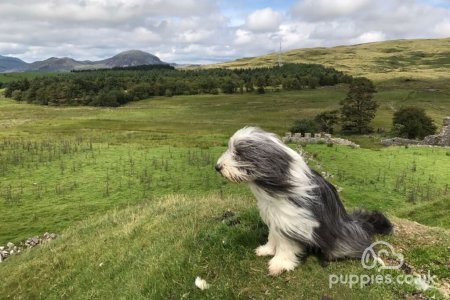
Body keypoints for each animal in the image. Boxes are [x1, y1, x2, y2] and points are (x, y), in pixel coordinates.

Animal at [216, 127, 392, 276]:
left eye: (239, 154)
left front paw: (279, 264)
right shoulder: (275, 215)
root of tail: (355, 222)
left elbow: (286, 244)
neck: (278, 183)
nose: (217, 167)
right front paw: (267, 249)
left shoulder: (291, 219)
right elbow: (273, 236)